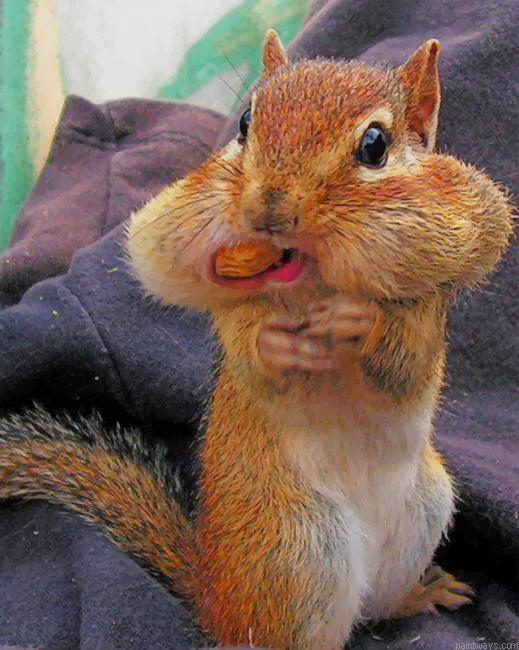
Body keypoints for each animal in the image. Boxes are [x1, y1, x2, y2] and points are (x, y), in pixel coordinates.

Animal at [0, 29, 513, 650]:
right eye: (245, 121)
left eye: (375, 145)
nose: (270, 206)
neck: (313, 281)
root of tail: (213, 595)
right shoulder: (234, 308)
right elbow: (247, 343)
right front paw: (277, 344)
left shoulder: (427, 311)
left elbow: (404, 363)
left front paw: (359, 320)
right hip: (294, 553)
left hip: (422, 513)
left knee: (377, 607)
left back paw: (421, 593)